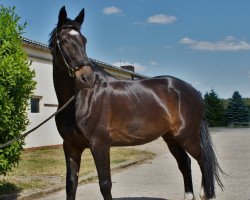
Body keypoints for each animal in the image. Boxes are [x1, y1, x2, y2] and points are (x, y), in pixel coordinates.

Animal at [48, 6, 223, 200]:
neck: (78, 101)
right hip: (171, 137)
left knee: (203, 161)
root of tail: (194, 91)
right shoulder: (71, 146)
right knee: (185, 163)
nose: (87, 77)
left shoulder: (100, 145)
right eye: (64, 40)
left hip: (188, 136)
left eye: (84, 40)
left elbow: (105, 184)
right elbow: (71, 184)